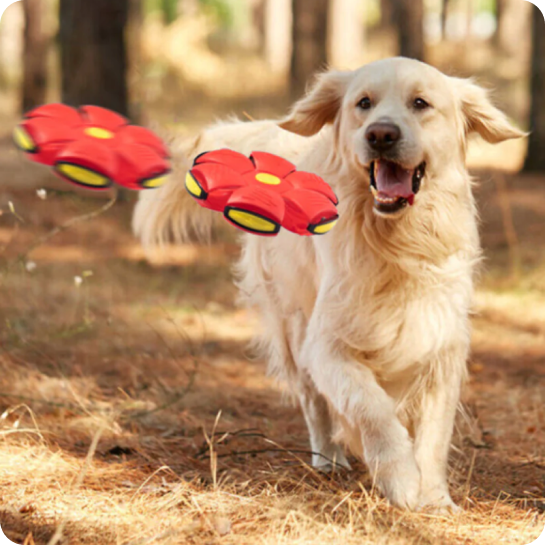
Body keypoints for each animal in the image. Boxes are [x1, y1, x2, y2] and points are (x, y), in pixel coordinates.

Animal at [133, 57, 524, 512]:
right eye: (363, 103)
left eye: (420, 103)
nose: (381, 134)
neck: (395, 243)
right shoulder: (327, 344)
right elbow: (371, 407)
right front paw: (401, 478)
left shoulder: (441, 345)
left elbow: (433, 434)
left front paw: (434, 498)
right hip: (292, 324)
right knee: (312, 400)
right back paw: (328, 459)